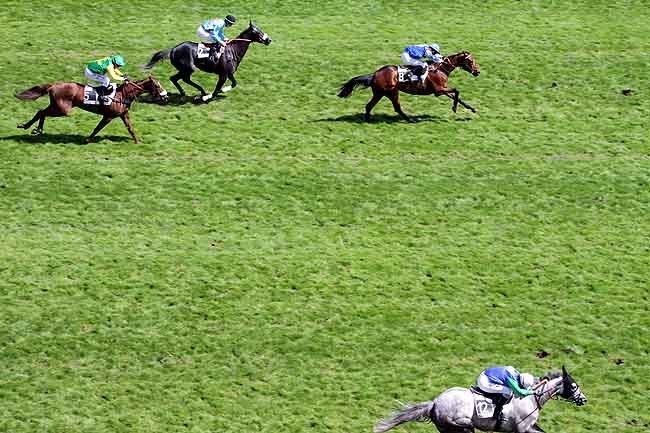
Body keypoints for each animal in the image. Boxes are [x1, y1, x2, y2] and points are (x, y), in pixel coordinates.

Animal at [15, 76, 168, 143]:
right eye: (157, 86)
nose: (165, 97)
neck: (123, 94)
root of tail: (53, 85)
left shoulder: (123, 114)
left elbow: (130, 128)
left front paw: (137, 141)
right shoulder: (108, 116)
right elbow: (98, 128)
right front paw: (88, 139)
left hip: (56, 106)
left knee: (41, 111)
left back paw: (33, 128)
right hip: (62, 109)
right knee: (42, 112)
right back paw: (32, 128)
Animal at [336, 52, 478, 123]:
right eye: (470, 61)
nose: (478, 71)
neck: (441, 68)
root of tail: (375, 74)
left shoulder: (443, 89)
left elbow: (457, 96)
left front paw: (471, 108)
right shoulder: (438, 90)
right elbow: (457, 91)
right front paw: (454, 108)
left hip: (380, 93)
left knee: (369, 106)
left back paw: (367, 120)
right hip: (392, 92)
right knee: (397, 108)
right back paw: (410, 119)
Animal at [372, 366, 584, 432]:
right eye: (573, 386)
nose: (584, 399)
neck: (531, 399)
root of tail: (435, 403)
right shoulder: (523, 428)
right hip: (460, 424)